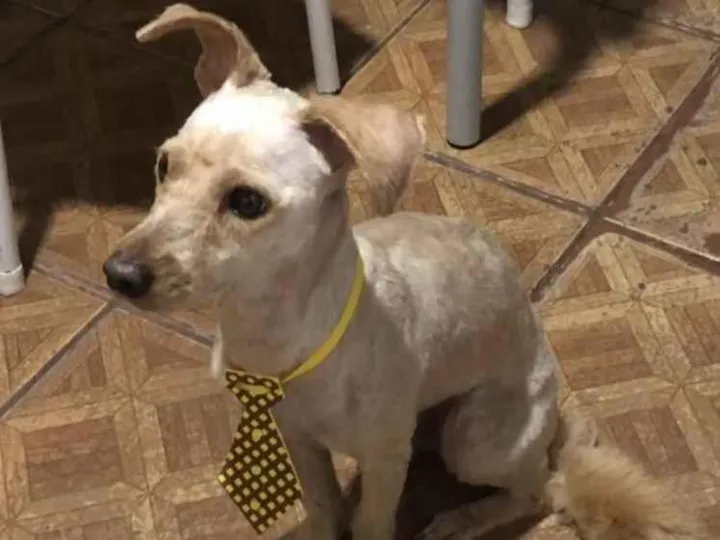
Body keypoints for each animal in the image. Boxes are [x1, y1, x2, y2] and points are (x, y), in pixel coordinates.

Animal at [102, 4, 707, 539]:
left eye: (247, 202)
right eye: (164, 165)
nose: (119, 275)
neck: (279, 334)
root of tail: (555, 426)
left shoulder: (384, 460)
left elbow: (371, 524)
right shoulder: (300, 443)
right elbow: (323, 511)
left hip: (474, 440)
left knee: (540, 491)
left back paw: (465, 520)